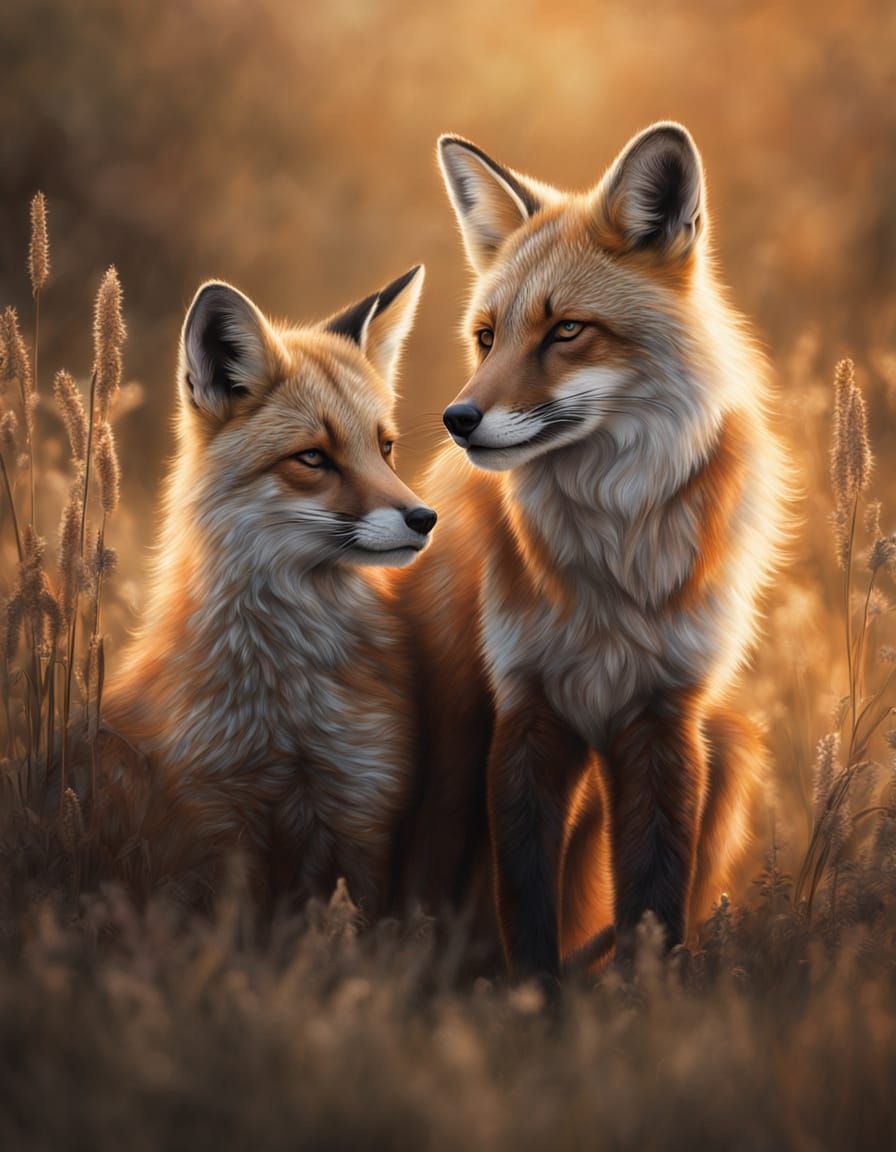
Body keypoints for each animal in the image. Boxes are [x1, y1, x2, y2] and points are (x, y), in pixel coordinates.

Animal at [397, 123, 786, 977]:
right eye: (487, 337)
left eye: (566, 330)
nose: (458, 419)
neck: (613, 556)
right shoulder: (527, 707)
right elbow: (527, 902)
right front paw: (533, 998)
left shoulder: (665, 712)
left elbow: (655, 894)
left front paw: (650, 995)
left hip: (730, 744)